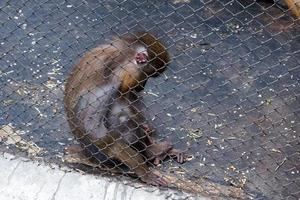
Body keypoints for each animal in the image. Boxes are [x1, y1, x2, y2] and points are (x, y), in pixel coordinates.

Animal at [63, 31, 185, 186]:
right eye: (147, 75)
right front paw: (145, 173)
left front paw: (149, 134)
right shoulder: (109, 85)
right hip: (105, 159)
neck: (117, 61)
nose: (142, 86)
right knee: (123, 118)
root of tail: (90, 156)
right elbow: (99, 135)